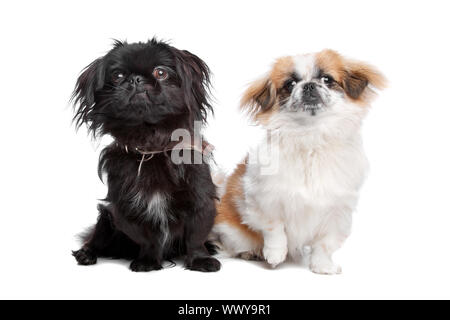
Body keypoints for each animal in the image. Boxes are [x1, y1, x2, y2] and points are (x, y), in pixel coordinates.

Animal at [71, 38, 222, 272]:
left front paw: (200, 260)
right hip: (105, 218)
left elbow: (195, 236)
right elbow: (147, 238)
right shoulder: (127, 208)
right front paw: (148, 262)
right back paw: (86, 254)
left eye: (161, 72)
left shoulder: (200, 199)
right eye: (117, 75)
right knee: (96, 239)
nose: (136, 79)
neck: (151, 146)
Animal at [213, 50, 384, 276]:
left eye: (327, 79)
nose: (309, 85)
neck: (310, 137)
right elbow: (275, 229)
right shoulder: (263, 199)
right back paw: (252, 253)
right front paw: (275, 255)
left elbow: (325, 244)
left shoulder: (338, 212)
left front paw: (322, 266)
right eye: (290, 84)